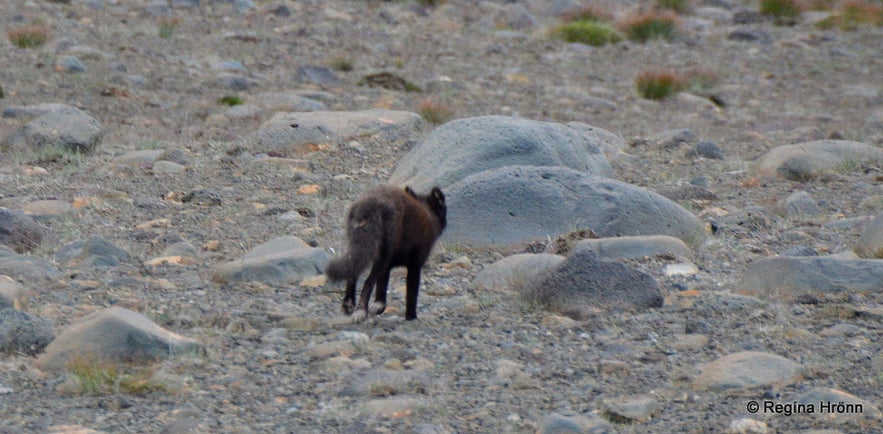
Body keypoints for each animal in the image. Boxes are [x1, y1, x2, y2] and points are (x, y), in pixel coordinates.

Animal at [326, 185, 448, 320]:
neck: (429, 215)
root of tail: (370, 206)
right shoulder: (415, 266)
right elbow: (411, 295)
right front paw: (411, 317)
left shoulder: (387, 267)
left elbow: (381, 293)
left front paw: (378, 307)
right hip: (382, 256)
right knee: (368, 282)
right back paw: (361, 311)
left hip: (359, 248)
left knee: (352, 274)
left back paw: (348, 305)